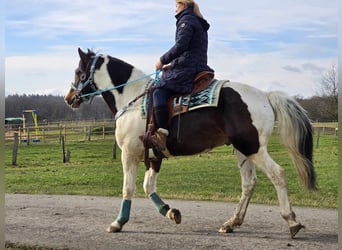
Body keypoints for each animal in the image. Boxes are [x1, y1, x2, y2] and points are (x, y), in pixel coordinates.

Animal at [64, 47, 316, 237]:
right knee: (249, 183)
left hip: (253, 148)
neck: (132, 99)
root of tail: (265, 96)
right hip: (242, 151)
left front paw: (118, 223)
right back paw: (231, 223)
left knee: (277, 174)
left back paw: (292, 222)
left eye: (78, 71)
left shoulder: (129, 154)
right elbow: (148, 187)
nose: (69, 98)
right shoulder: (154, 156)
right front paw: (171, 212)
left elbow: (129, 188)